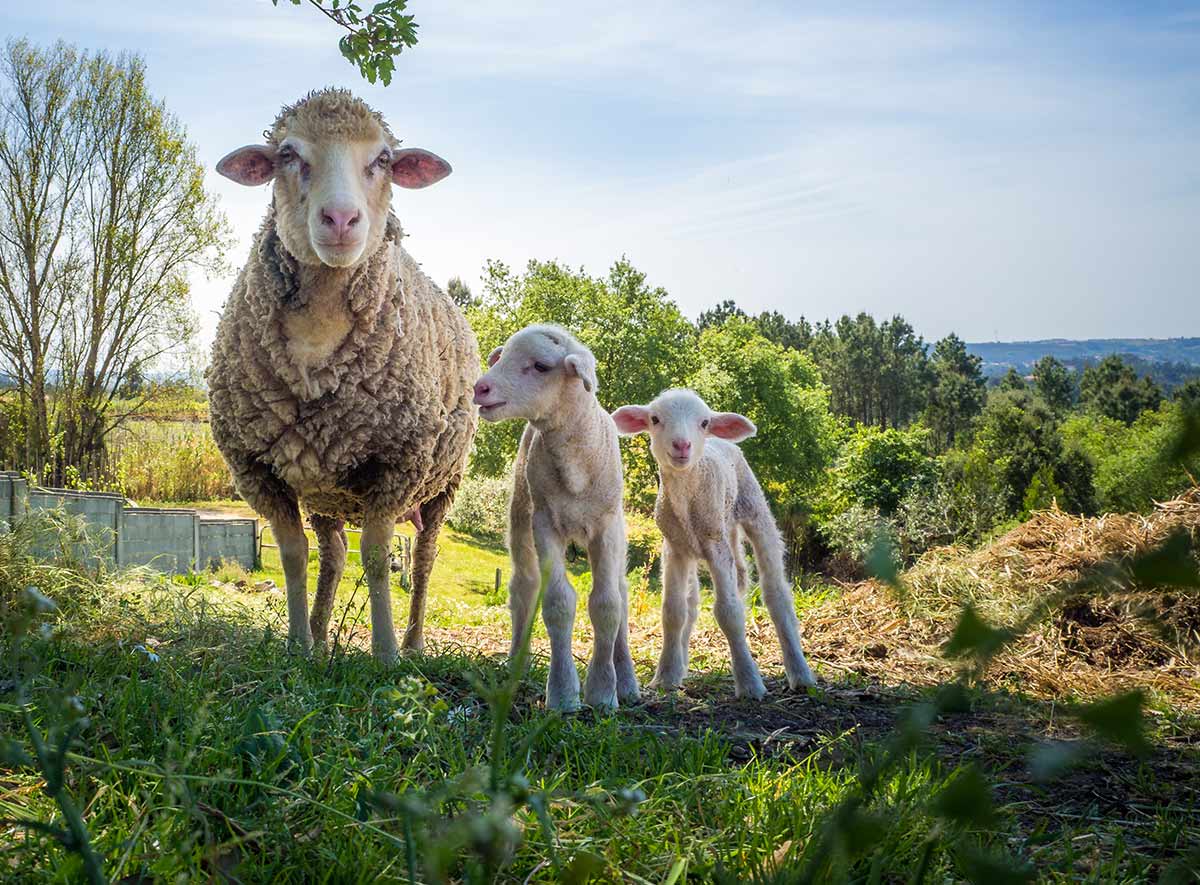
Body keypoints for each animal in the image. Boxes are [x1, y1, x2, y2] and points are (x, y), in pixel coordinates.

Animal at [208, 88, 475, 661]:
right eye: (287, 153)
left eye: (383, 159)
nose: (340, 218)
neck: (318, 333)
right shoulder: (256, 468)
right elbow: (293, 553)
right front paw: (295, 647)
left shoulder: (398, 464)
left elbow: (376, 557)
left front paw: (386, 654)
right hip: (323, 480)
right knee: (330, 552)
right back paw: (319, 635)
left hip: (442, 484)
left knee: (424, 557)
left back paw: (414, 641)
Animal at [470, 323, 643, 709]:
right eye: (502, 357)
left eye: (541, 366)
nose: (480, 387)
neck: (575, 465)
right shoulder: (545, 523)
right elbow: (557, 603)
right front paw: (563, 693)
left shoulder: (606, 528)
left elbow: (608, 606)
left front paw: (603, 691)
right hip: (522, 512)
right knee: (524, 586)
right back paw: (515, 662)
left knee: (623, 595)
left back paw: (626, 680)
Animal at [609, 386, 816, 695]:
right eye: (655, 419)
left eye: (704, 422)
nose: (682, 445)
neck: (687, 499)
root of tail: (723, 441)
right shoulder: (675, 548)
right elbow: (673, 612)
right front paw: (666, 676)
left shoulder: (716, 545)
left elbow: (729, 613)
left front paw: (750, 683)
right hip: (714, 535)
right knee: (702, 597)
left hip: (753, 507)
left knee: (776, 594)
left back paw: (800, 674)